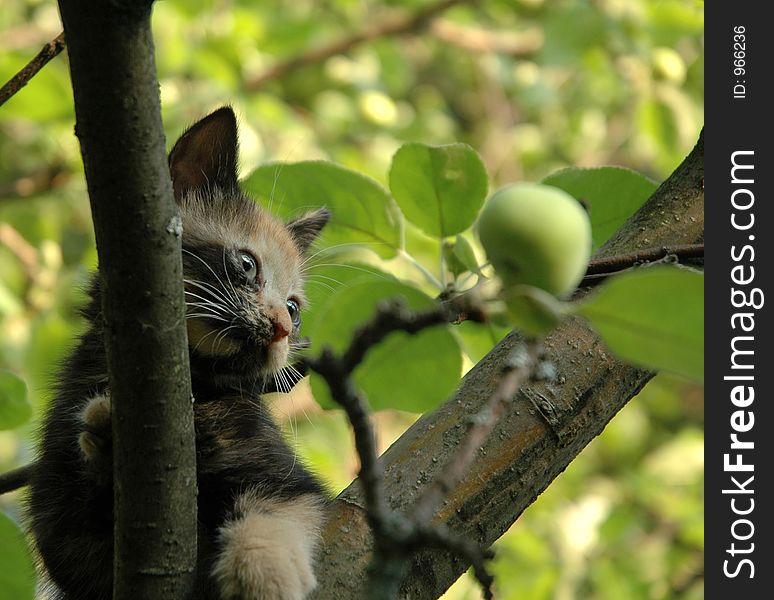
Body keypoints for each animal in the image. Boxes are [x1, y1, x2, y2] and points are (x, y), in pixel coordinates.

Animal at [27, 108, 328, 600]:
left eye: (294, 309)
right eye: (247, 264)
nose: (282, 330)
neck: (194, 392)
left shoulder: (283, 477)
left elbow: (276, 511)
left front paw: (266, 572)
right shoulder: (61, 525)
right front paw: (103, 433)